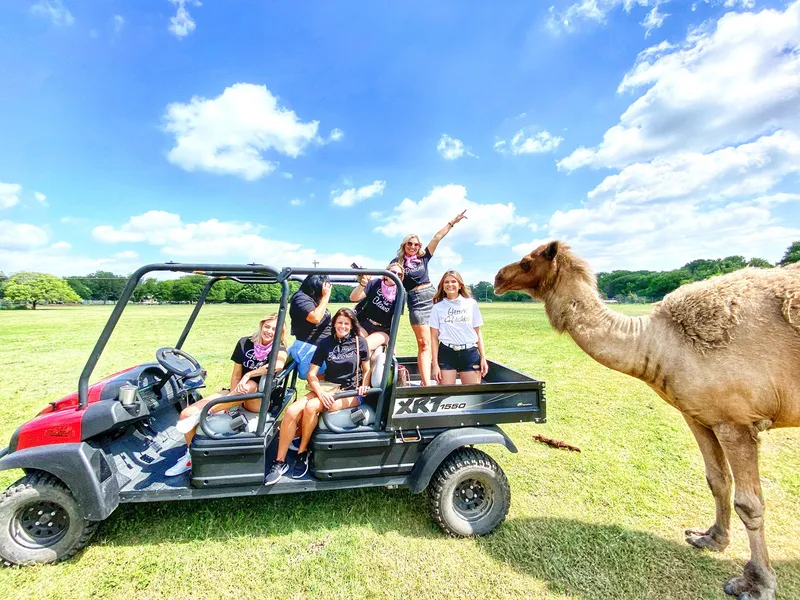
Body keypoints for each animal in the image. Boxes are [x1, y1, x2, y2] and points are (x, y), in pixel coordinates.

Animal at [494, 241, 800, 600]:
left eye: (527, 262)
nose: (498, 277)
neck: (659, 342)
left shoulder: (736, 421)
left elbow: (749, 503)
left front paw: (755, 583)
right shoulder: (699, 415)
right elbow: (718, 480)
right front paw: (709, 539)